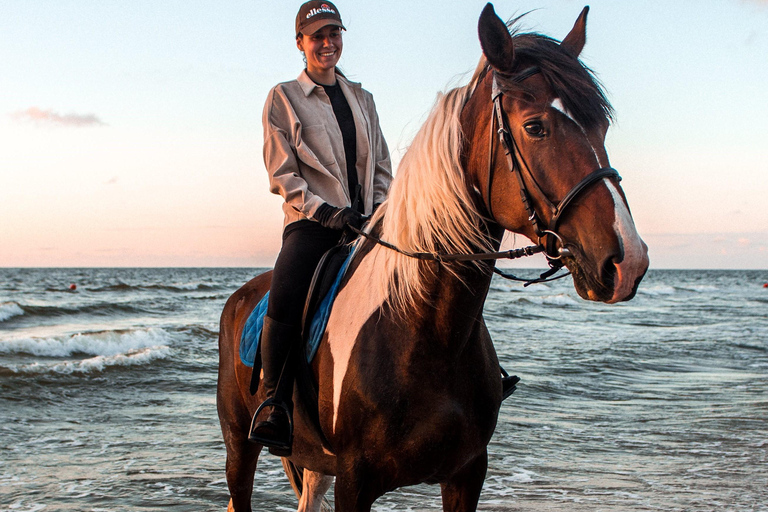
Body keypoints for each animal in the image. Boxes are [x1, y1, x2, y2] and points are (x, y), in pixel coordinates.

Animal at [216, 5, 648, 512]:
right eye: (534, 126)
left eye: (602, 126)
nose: (628, 261)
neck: (422, 329)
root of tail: (242, 296)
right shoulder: (354, 481)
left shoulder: (466, 475)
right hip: (240, 445)